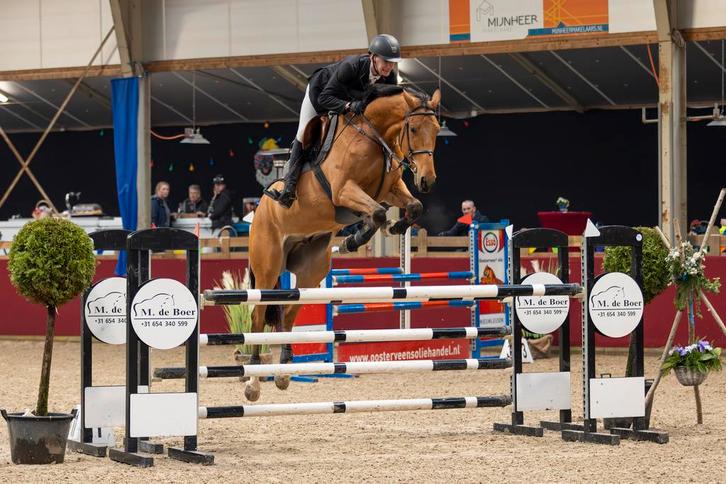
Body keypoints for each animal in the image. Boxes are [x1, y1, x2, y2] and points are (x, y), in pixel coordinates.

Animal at [245, 85, 441, 401]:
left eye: (436, 129)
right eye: (413, 128)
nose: (427, 179)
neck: (375, 136)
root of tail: (260, 210)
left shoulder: (390, 189)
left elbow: (412, 207)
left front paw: (393, 227)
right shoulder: (344, 191)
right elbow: (377, 212)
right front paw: (355, 239)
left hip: (311, 273)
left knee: (287, 313)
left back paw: (284, 373)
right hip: (267, 267)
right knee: (258, 316)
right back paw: (252, 381)